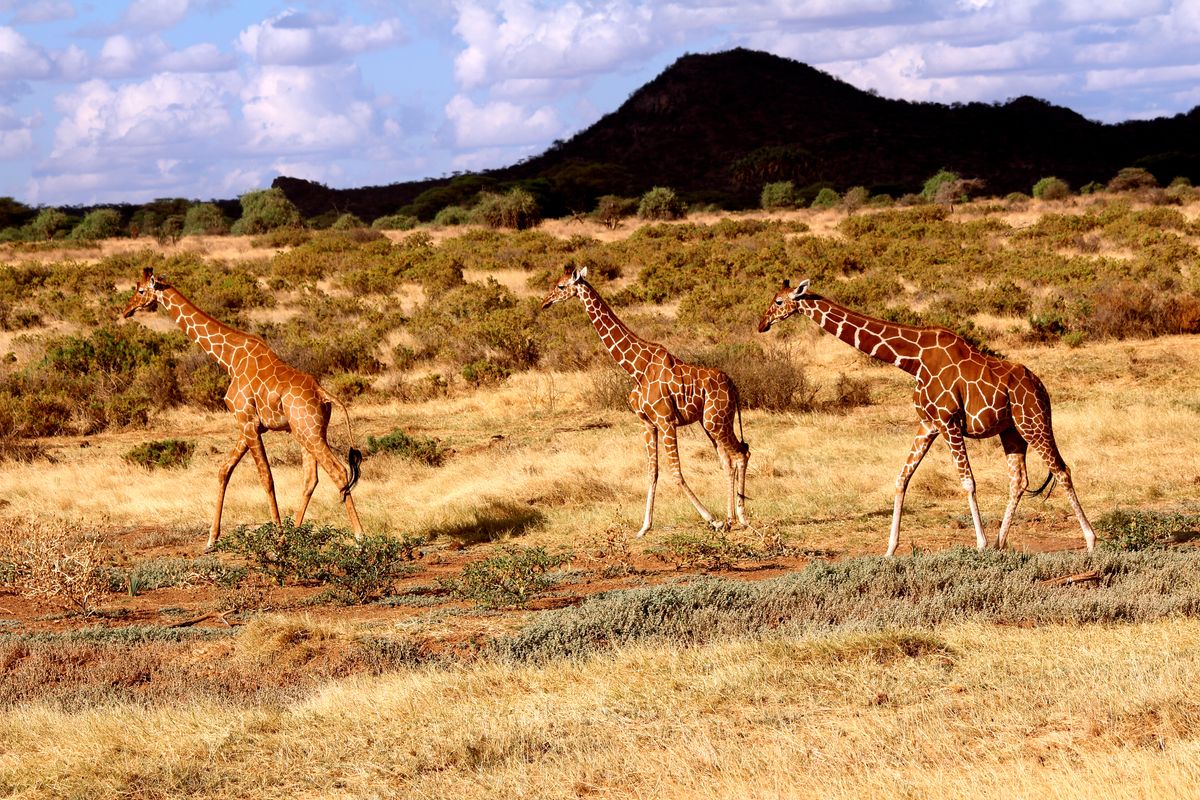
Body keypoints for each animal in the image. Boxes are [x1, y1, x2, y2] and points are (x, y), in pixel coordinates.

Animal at [121, 267, 364, 550]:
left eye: (140, 290)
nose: (126, 310)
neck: (229, 359)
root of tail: (324, 394)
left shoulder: (248, 422)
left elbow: (266, 478)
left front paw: (277, 538)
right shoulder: (247, 424)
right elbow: (224, 470)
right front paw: (211, 539)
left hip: (309, 432)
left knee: (339, 473)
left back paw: (359, 538)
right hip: (307, 432)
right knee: (310, 479)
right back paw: (297, 533)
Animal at [541, 264, 749, 536]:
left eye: (561, 286)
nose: (545, 302)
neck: (636, 368)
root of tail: (734, 385)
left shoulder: (666, 421)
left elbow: (676, 473)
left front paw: (710, 519)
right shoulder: (647, 423)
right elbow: (652, 472)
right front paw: (644, 527)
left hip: (716, 420)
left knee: (741, 454)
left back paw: (741, 518)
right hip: (711, 423)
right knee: (728, 460)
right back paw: (730, 518)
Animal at [757, 278, 1096, 555]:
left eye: (779, 301)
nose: (761, 323)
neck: (913, 359)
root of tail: (1041, 386)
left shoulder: (948, 421)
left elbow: (967, 481)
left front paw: (980, 544)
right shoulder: (928, 424)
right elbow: (901, 478)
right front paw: (890, 549)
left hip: (1033, 421)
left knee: (1062, 470)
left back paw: (1091, 541)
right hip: (1011, 430)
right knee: (1019, 480)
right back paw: (1002, 543)